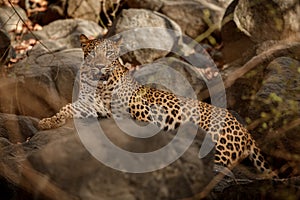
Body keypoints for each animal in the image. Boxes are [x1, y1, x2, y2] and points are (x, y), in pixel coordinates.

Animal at [38, 34, 278, 178]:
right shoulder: (89, 105)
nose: (99, 66)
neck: (100, 84)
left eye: (109, 54)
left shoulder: (140, 111)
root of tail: (244, 129)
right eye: (93, 54)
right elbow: (67, 108)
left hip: (217, 143)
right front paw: (48, 121)